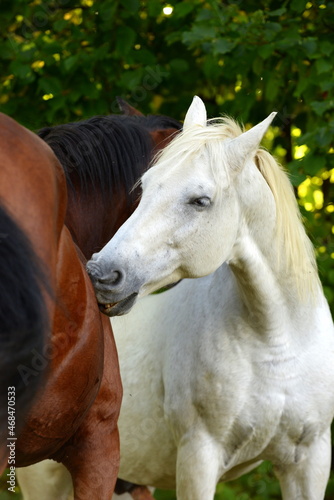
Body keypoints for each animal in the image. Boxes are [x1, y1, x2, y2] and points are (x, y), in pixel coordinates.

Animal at [17, 95, 334, 498]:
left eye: (200, 200)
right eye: (144, 186)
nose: (103, 274)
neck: (276, 342)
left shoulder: (308, 463)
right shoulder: (199, 459)